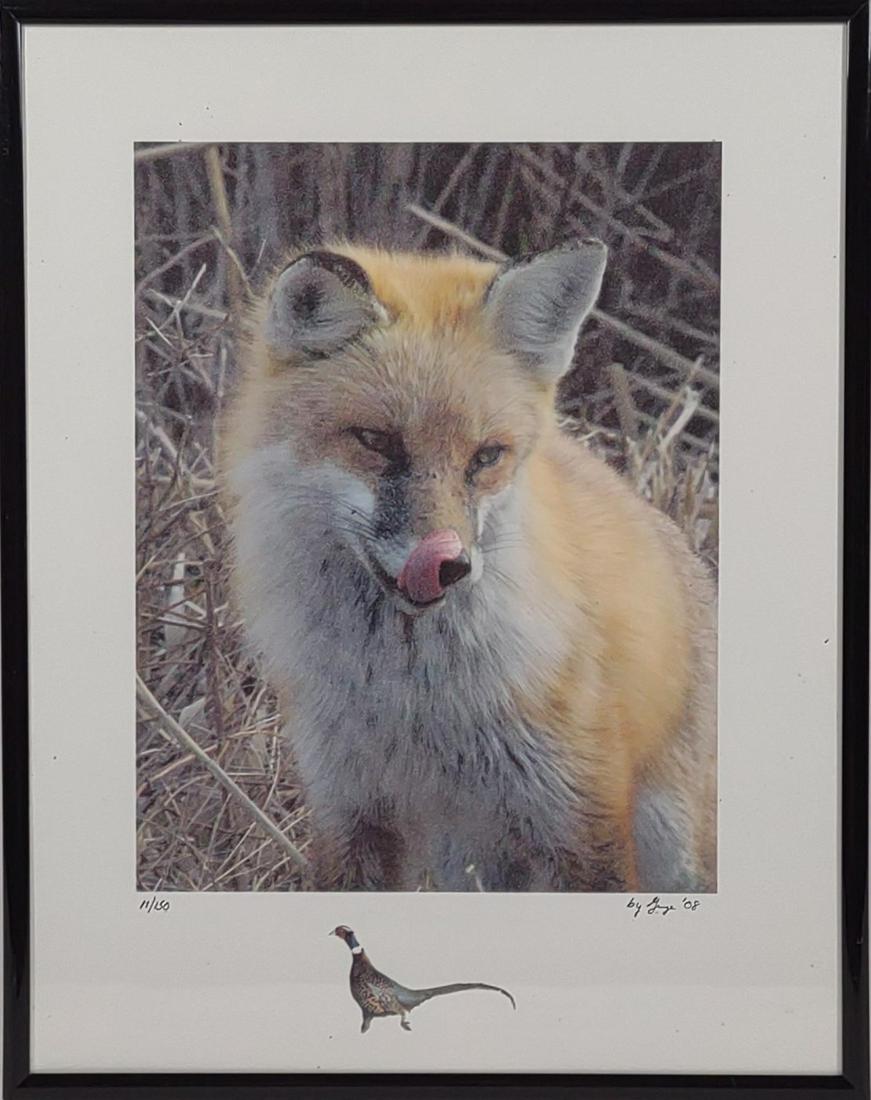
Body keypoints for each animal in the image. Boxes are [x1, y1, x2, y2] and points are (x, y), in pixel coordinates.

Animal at [222, 239, 717, 893]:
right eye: (376, 441)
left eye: (486, 456)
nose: (448, 563)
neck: (415, 699)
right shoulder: (349, 811)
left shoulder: (582, 818)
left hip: (671, 850)